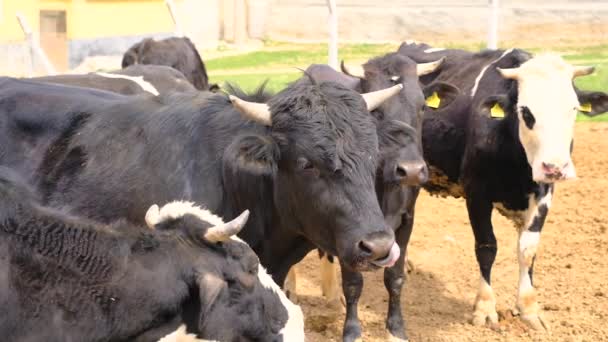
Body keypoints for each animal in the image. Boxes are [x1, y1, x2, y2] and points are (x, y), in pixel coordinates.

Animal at [284, 52, 460, 340]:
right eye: (376, 111)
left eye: (422, 106)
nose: (411, 170)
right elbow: (354, 282)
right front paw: (352, 331)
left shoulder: (407, 219)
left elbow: (395, 278)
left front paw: (396, 329)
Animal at [400, 41, 608, 330]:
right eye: (526, 112)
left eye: (574, 109)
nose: (555, 167)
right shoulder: (476, 194)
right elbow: (487, 247)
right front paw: (485, 308)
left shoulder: (544, 195)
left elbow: (528, 250)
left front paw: (530, 309)